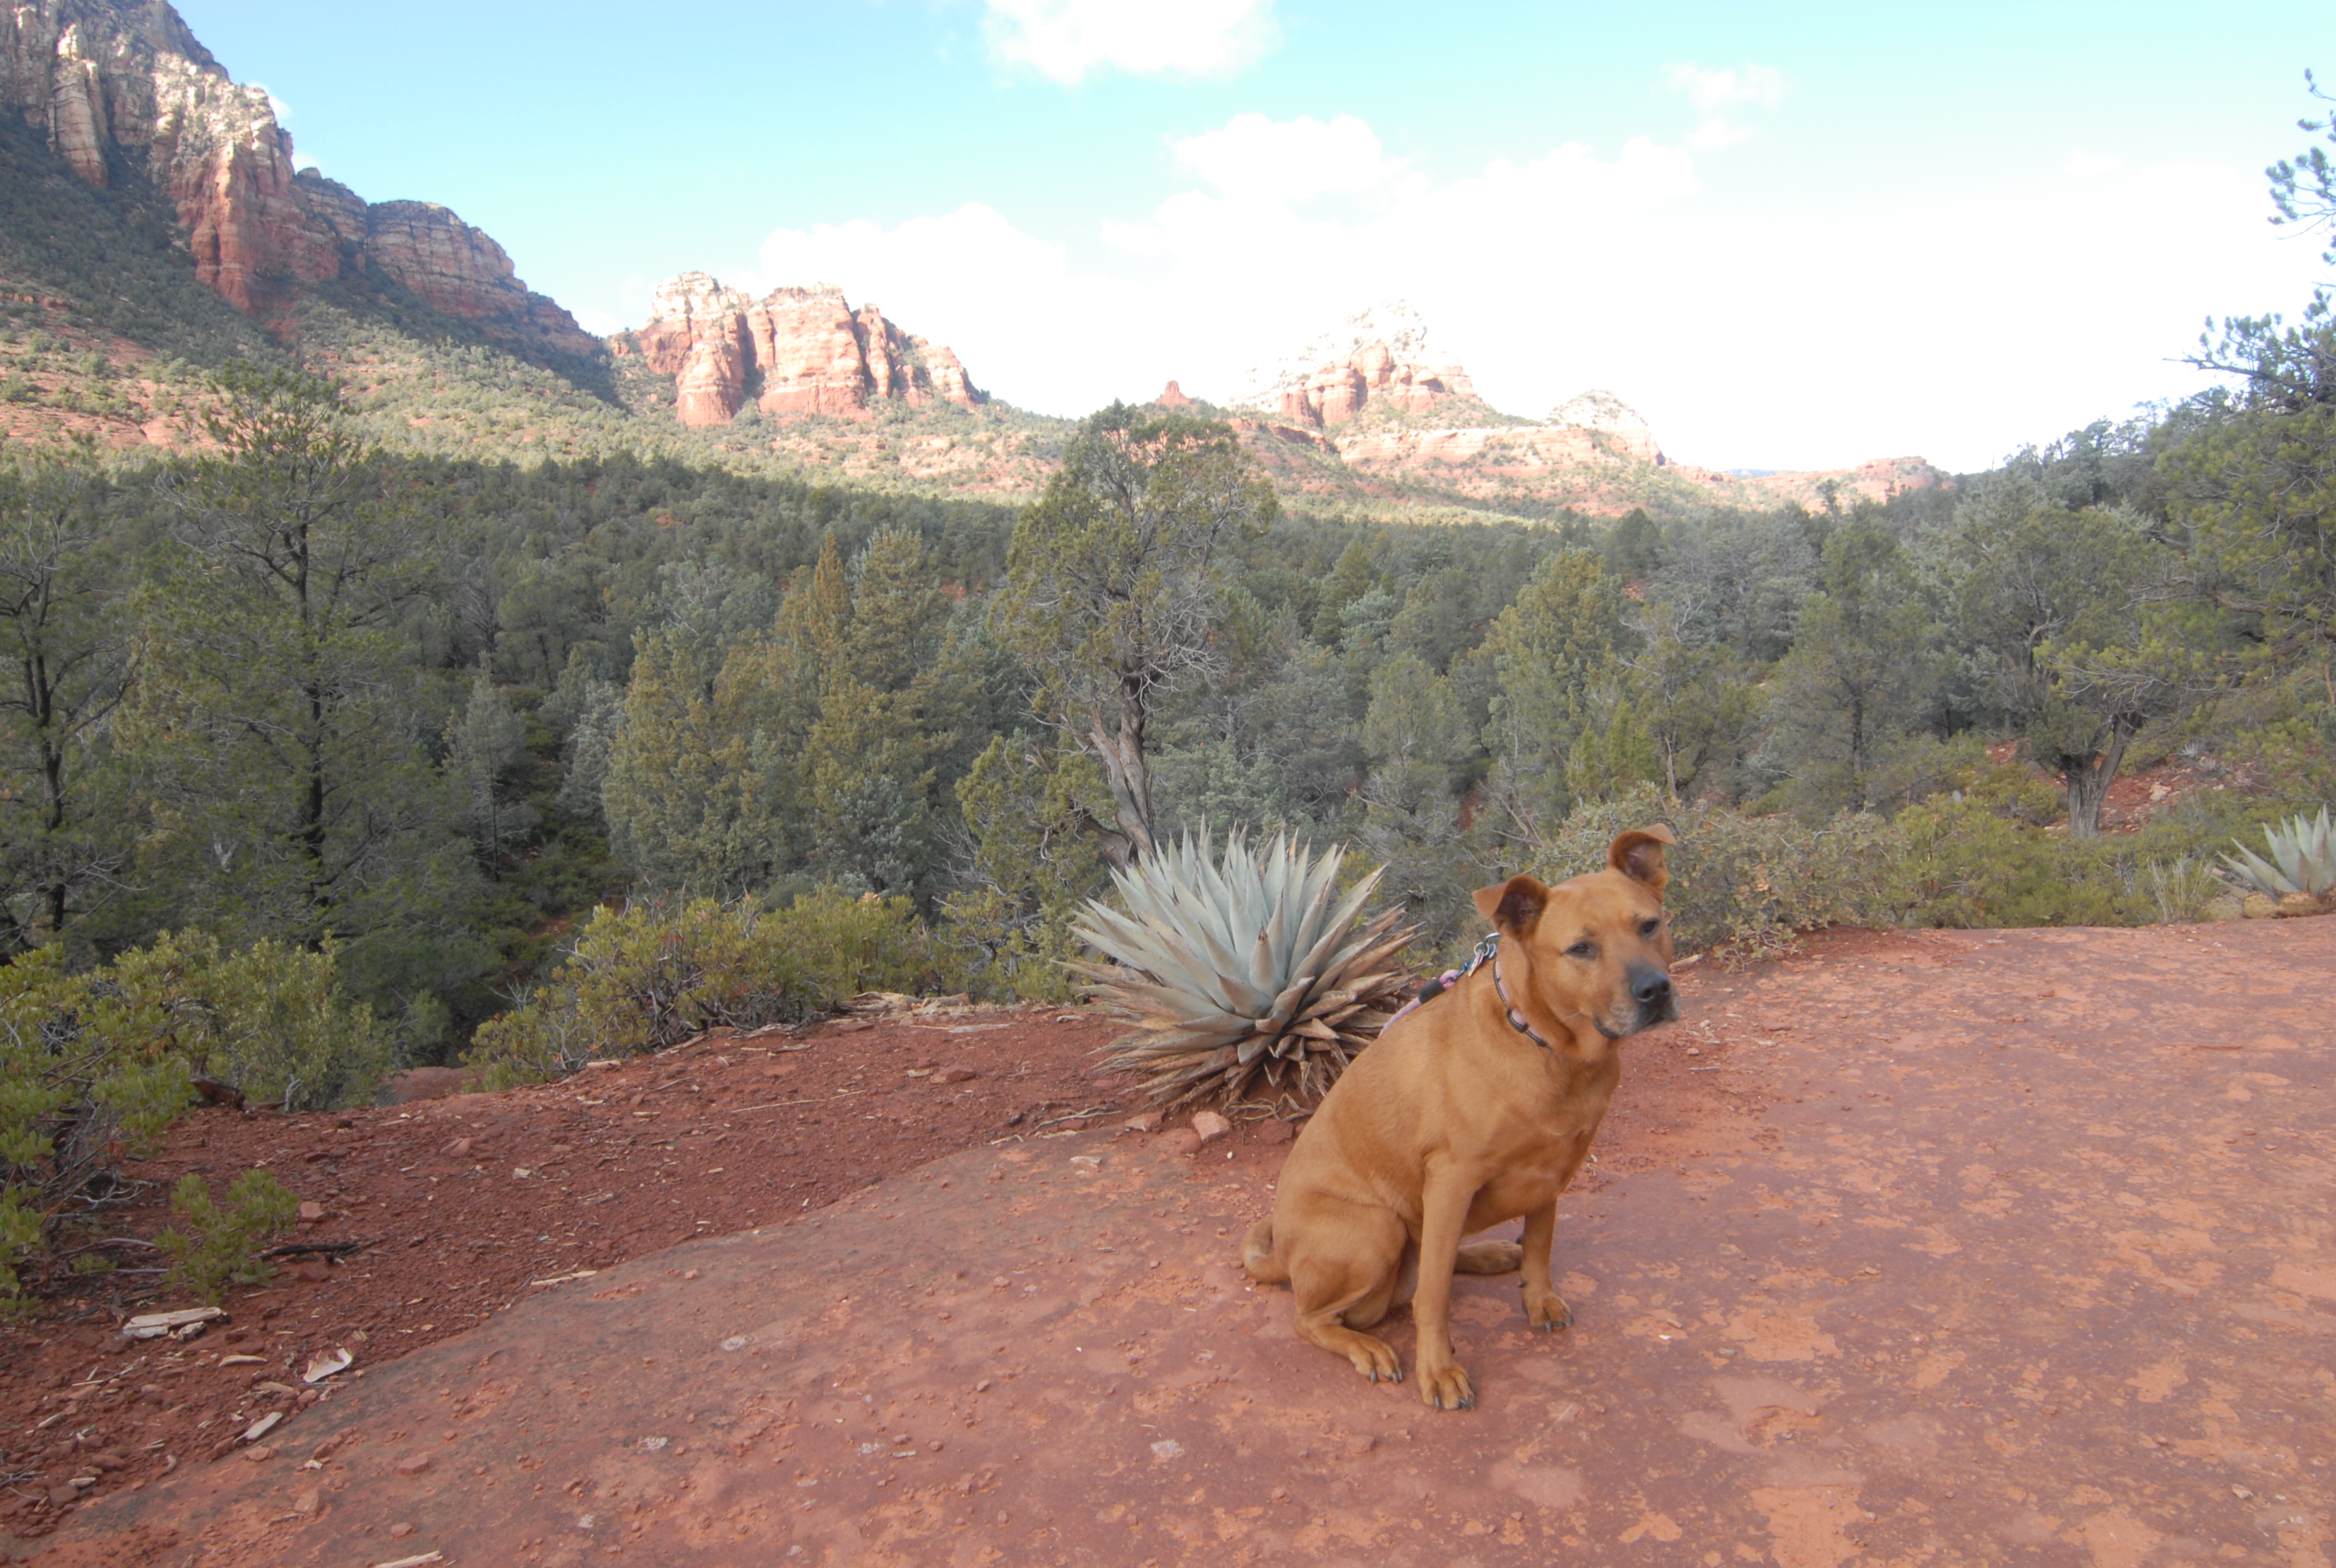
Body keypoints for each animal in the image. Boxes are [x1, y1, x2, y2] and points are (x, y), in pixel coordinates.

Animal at [1240, 826, 1679, 1410]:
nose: (1655, 991)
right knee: (1314, 1318)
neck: (1542, 1043)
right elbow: (1434, 1297)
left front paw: (1538, 1300)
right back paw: (1365, 1347)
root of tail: (1283, 1257)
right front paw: (1440, 1371)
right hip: (1378, 1228)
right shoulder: (1451, 1178)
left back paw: (1490, 1254)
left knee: (1432, 1261)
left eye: (1649, 925)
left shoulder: (1554, 1169)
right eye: (1581, 949)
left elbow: (1539, 1245)